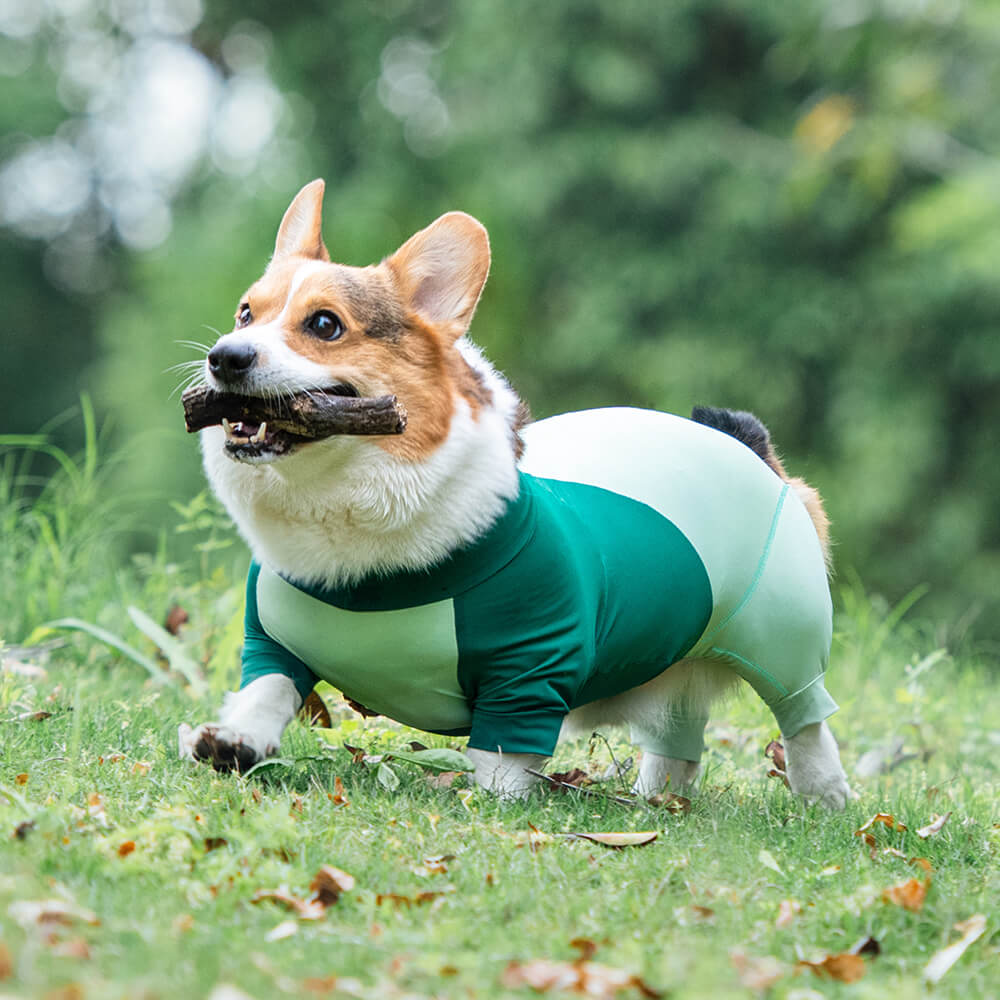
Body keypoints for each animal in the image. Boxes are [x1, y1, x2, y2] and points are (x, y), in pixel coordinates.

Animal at [180, 178, 852, 804]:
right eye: (246, 313)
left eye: (324, 324)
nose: (224, 357)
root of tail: (742, 439)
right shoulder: (269, 640)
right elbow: (267, 688)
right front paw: (235, 741)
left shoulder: (528, 668)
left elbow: (501, 757)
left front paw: (488, 798)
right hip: (675, 649)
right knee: (678, 732)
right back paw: (657, 796)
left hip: (786, 635)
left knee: (804, 718)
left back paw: (824, 796)